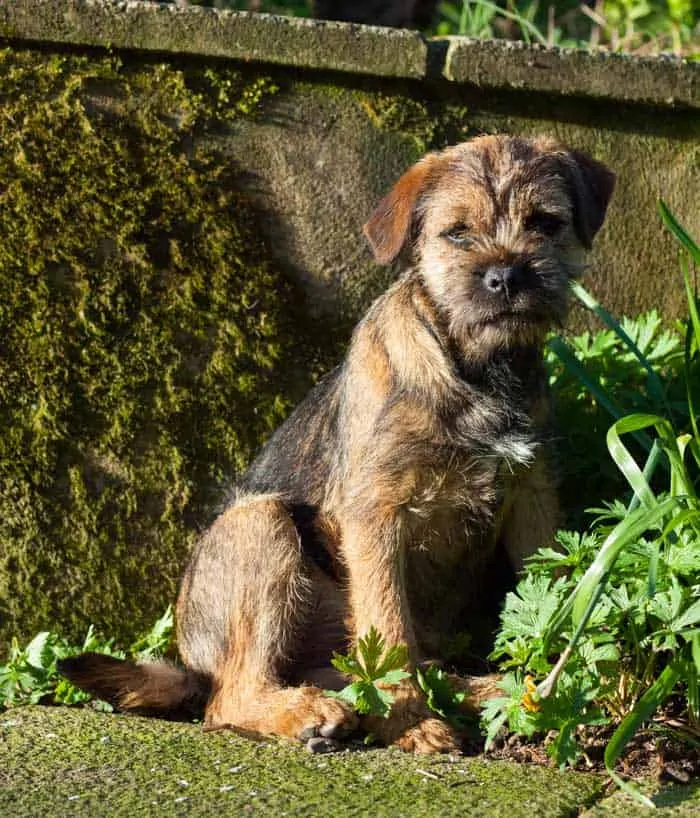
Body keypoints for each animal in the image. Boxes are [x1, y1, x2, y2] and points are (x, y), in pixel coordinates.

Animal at [61, 134, 616, 752]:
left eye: (544, 222)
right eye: (457, 233)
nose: (506, 277)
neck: (477, 371)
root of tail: (192, 662)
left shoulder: (532, 497)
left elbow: (552, 586)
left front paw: (560, 679)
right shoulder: (376, 515)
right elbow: (389, 628)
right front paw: (412, 724)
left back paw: (481, 692)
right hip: (261, 525)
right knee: (230, 697)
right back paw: (309, 713)